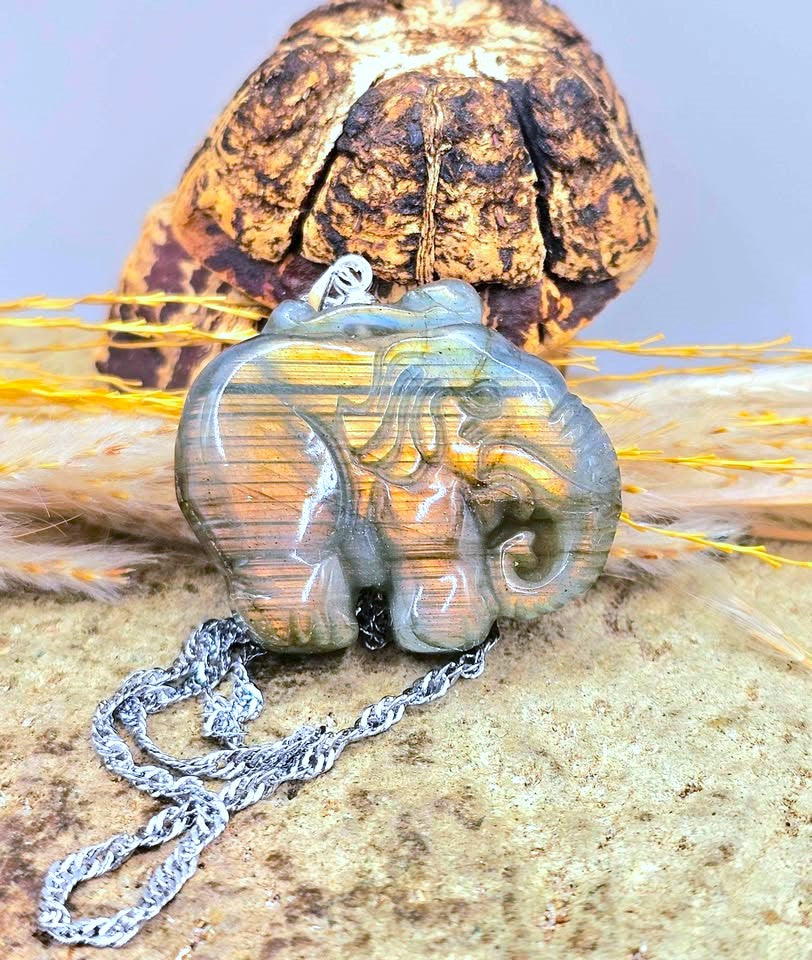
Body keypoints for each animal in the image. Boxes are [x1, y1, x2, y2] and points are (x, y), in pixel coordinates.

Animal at [176, 272, 621, 654]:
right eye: (484, 398)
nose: (521, 546)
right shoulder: (410, 477)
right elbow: (433, 546)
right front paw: (449, 640)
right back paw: (320, 639)